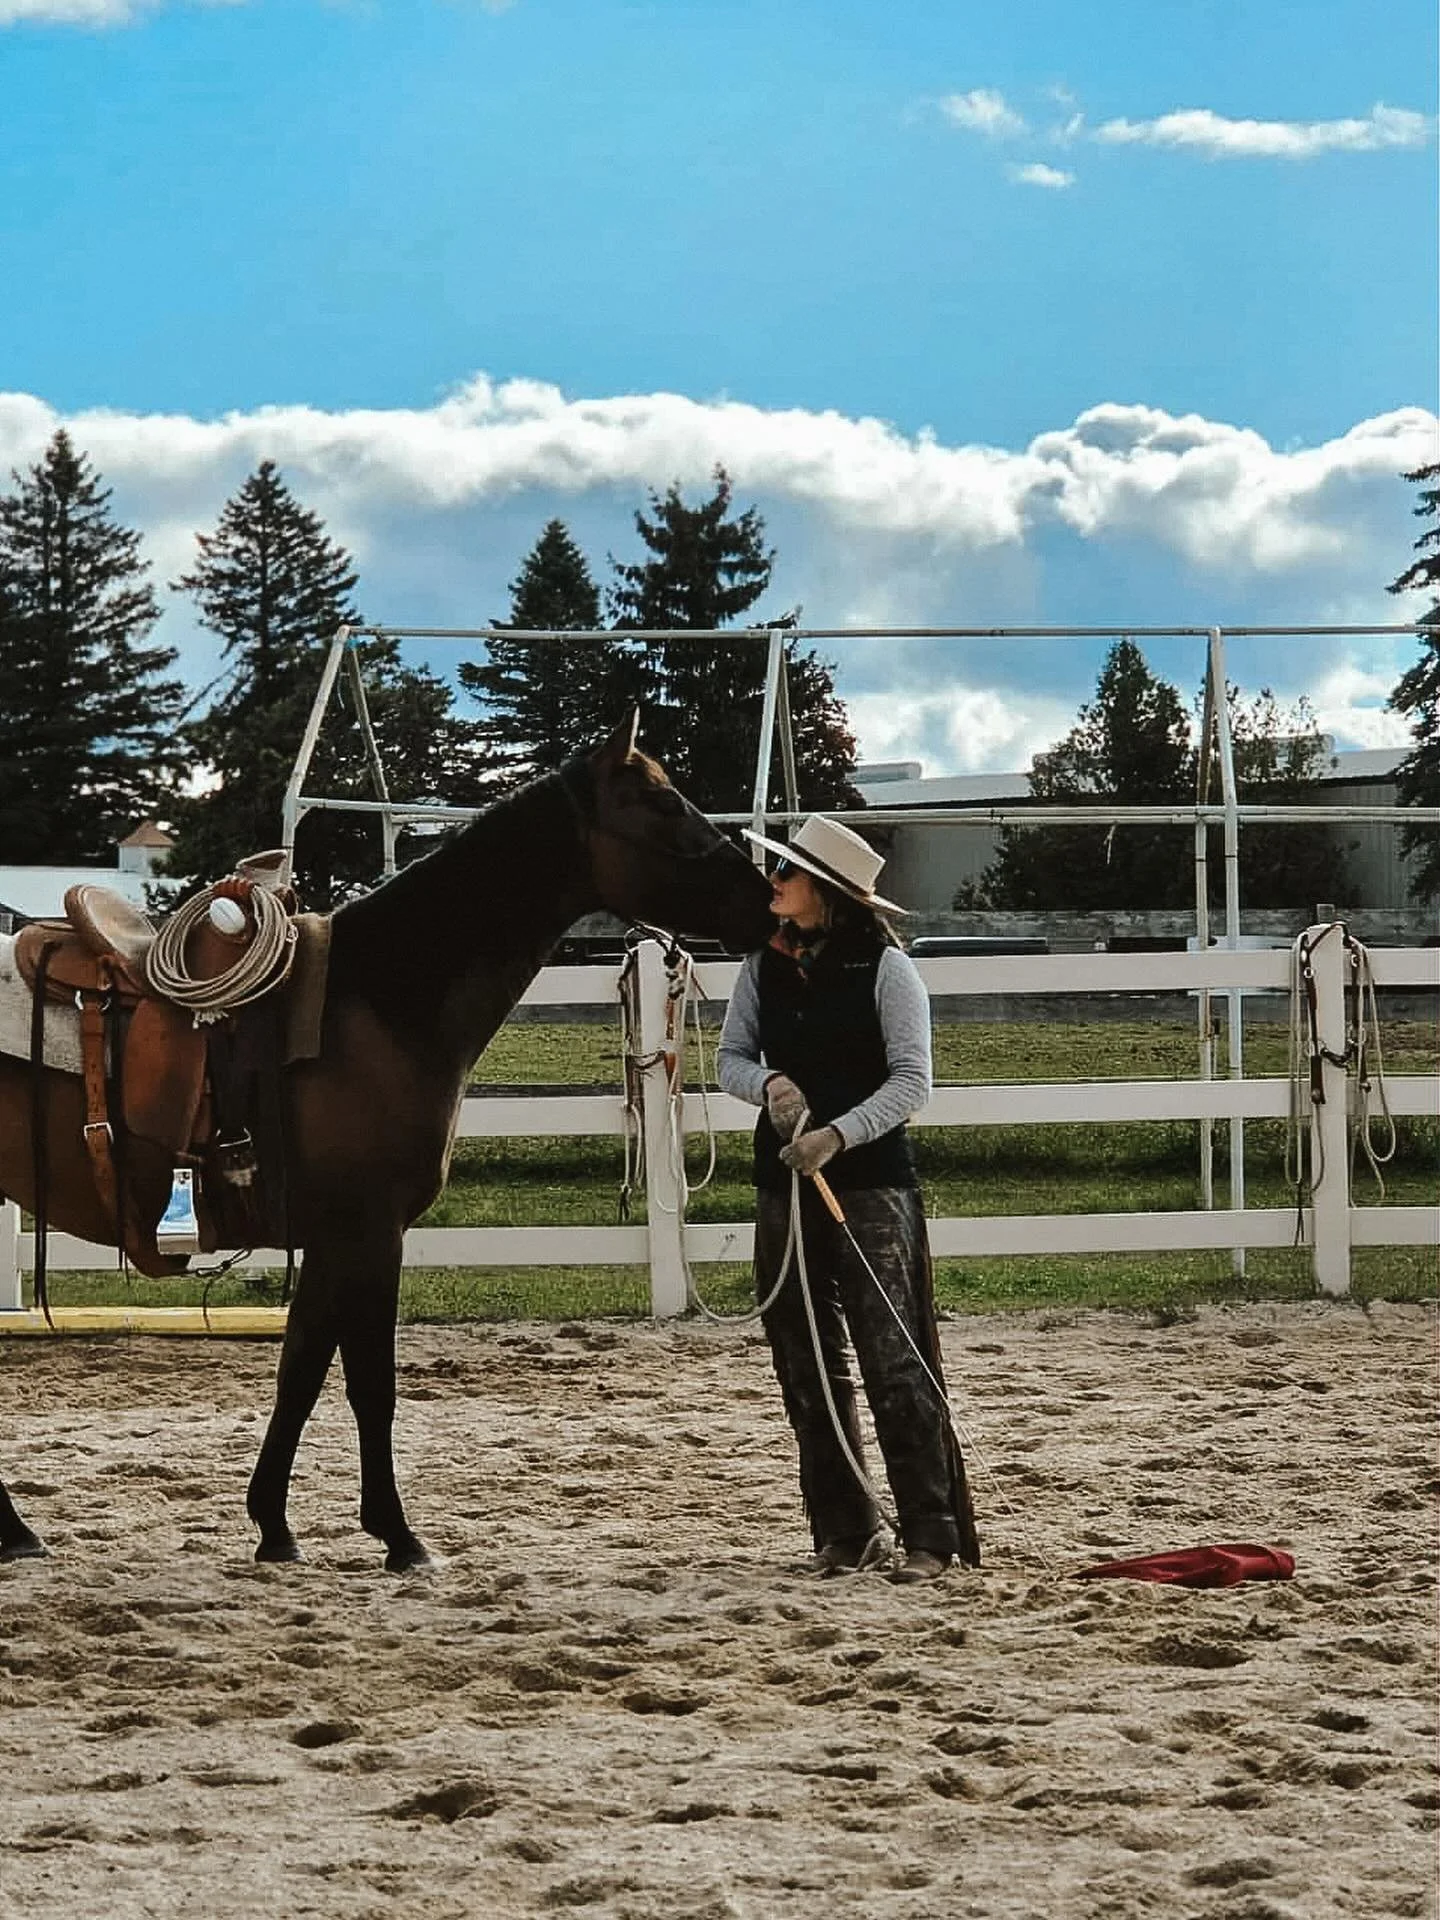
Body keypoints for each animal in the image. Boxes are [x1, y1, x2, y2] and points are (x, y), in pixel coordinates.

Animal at [0, 715, 774, 1567]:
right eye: (663, 803)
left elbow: (302, 1371)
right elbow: (370, 1385)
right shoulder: (370, 1233)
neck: (378, 1001)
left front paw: (275, 1525)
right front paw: (399, 1536)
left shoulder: (335, 1239)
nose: (769, 902)